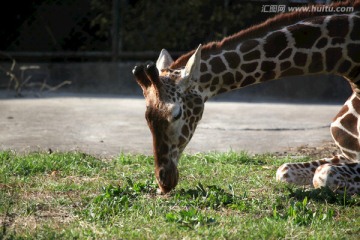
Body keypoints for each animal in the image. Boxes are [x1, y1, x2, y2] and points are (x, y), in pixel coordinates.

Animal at [133, 0, 360, 194]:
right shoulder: (343, 154)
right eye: (146, 118)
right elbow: (285, 171)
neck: (349, 63)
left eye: (177, 113)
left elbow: (323, 174)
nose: (164, 181)